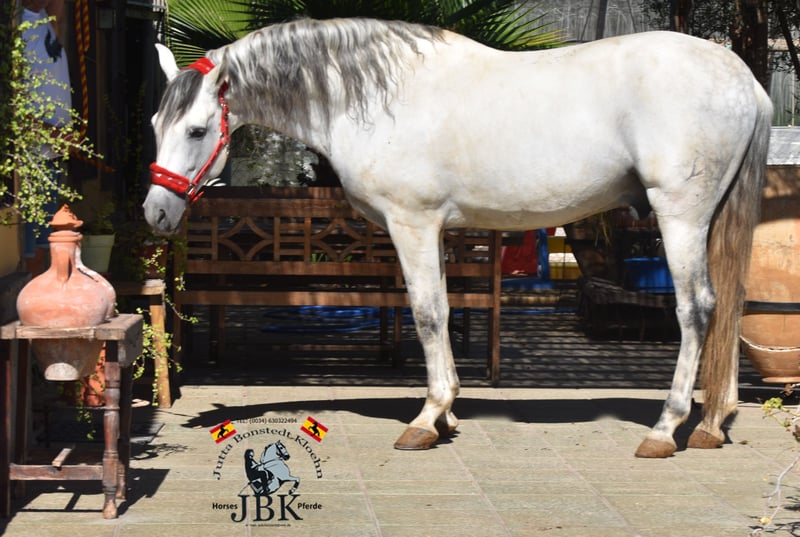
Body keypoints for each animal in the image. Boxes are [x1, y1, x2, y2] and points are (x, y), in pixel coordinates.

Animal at [144, 18, 772, 458]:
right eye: (154, 125)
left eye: (196, 130)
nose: (155, 212)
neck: (376, 98)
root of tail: (744, 78)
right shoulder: (436, 230)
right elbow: (443, 312)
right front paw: (446, 415)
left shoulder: (413, 223)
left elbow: (427, 313)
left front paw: (427, 419)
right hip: (713, 218)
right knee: (728, 305)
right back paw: (713, 424)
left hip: (681, 215)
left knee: (696, 309)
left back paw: (667, 428)